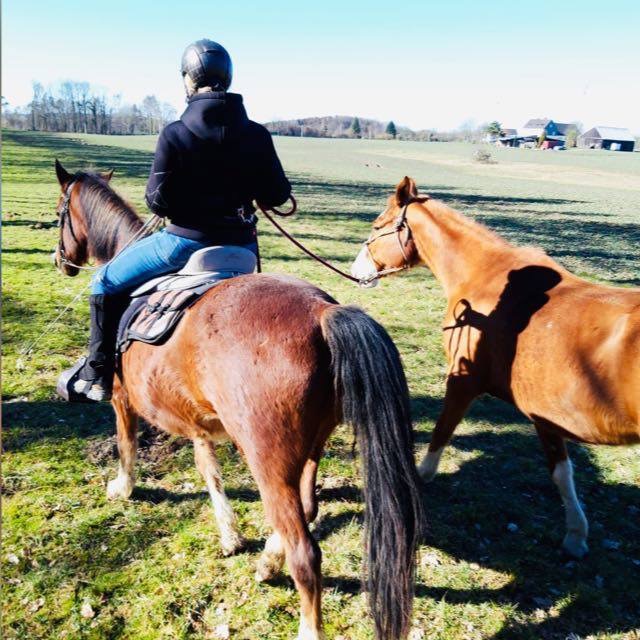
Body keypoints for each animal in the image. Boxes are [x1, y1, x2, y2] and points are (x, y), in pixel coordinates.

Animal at [53, 164, 424, 640]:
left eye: (61, 212)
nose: (60, 262)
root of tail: (322, 312)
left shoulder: (122, 399)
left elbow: (127, 444)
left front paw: (123, 487)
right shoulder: (196, 420)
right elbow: (208, 468)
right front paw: (229, 533)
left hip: (267, 459)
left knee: (306, 552)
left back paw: (302, 616)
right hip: (311, 447)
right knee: (306, 508)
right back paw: (267, 562)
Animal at [350, 178, 640, 556]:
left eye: (376, 227)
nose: (356, 272)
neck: (489, 278)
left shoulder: (462, 381)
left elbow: (441, 431)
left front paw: (421, 476)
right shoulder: (545, 414)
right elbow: (562, 472)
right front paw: (576, 534)